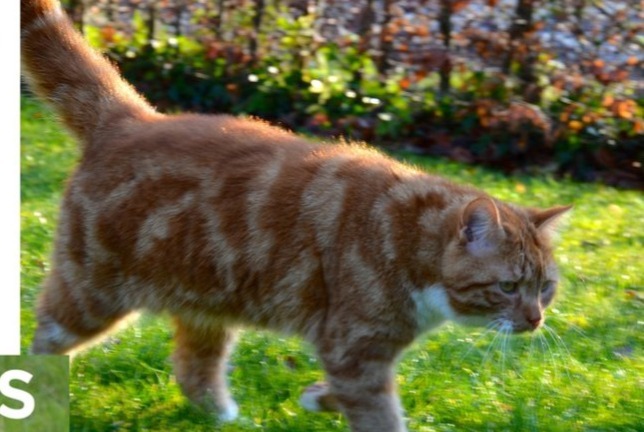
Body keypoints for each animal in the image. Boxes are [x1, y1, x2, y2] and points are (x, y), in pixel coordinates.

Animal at [22, 1, 572, 430]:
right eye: (508, 286)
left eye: (545, 287)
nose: (535, 319)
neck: (406, 234)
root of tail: (129, 119)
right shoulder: (355, 350)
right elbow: (381, 415)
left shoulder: (358, 355)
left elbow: (344, 393)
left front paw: (314, 397)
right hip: (89, 293)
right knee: (45, 343)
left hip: (206, 298)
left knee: (193, 366)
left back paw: (225, 418)